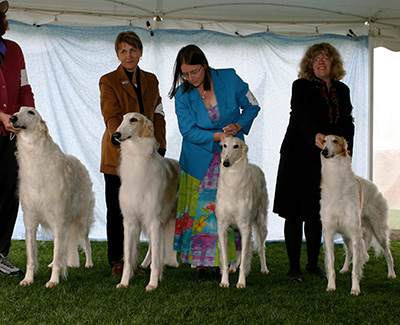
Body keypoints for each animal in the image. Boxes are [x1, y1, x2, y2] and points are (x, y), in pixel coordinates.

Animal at [9, 106, 94, 286]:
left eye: (31, 112)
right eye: (19, 109)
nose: (12, 118)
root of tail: (78, 161)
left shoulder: (57, 220)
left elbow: (58, 253)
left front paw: (53, 281)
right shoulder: (30, 221)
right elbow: (31, 257)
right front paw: (28, 280)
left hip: (81, 217)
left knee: (86, 241)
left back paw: (89, 263)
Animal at [113, 112, 180, 292]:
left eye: (133, 120)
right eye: (122, 119)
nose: (116, 135)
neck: (138, 158)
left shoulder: (154, 220)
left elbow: (156, 261)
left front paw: (152, 284)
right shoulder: (130, 222)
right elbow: (128, 259)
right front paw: (124, 282)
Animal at [216, 135, 268, 288]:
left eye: (236, 146)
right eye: (224, 145)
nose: (226, 163)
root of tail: (256, 167)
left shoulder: (245, 227)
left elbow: (245, 261)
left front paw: (241, 282)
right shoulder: (222, 226)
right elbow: (225, 258)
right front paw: (224, 282)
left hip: (260, 221)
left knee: (262, 247)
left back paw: (264, 269)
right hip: (235, 229)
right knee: (239, 250)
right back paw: (233, 267)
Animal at [320, 133, 396, 294]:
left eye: (335, 141)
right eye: (323, 141)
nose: (324, 151)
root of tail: (374, 186)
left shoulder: (355, 233)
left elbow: (356, 268)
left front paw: (355, 289)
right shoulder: (329, 232)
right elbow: (331, 265)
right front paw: (331, 286)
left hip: (378, 229)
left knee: (387, 252)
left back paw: (391, 273)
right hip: (346, 233)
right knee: (349, 252)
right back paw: (344, 268)